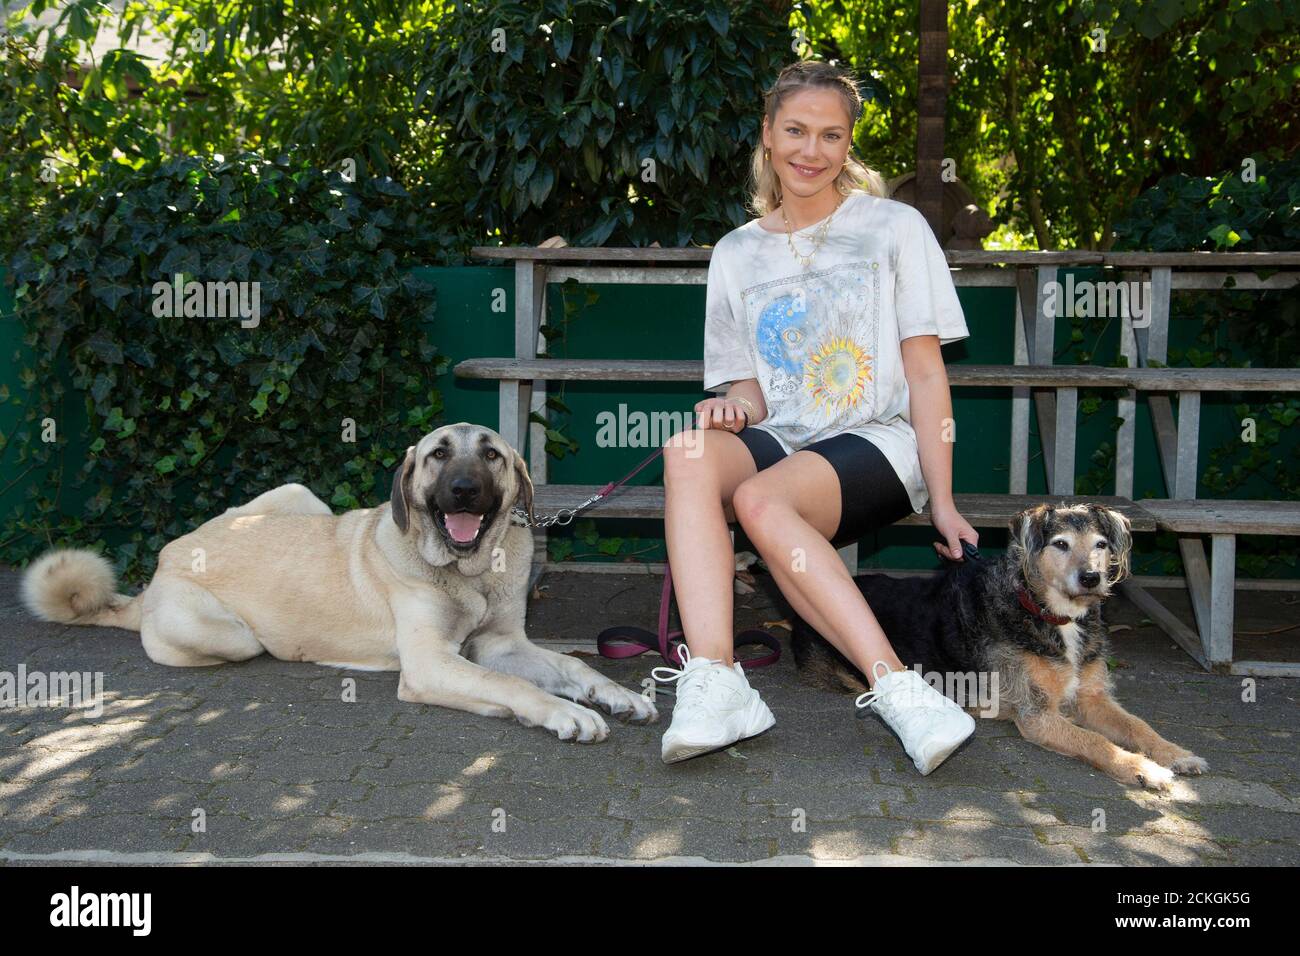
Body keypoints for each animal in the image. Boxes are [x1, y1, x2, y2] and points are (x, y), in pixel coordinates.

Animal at [790, 504, 1206, 790]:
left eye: (1101, 544)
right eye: (1060, 544)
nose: (1091, 577)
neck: (1051, 616)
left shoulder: (1093, 698)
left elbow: (1138, 726)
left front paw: (1176, 754)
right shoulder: (1035, 715)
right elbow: (1096, 741)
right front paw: (1143, 769)